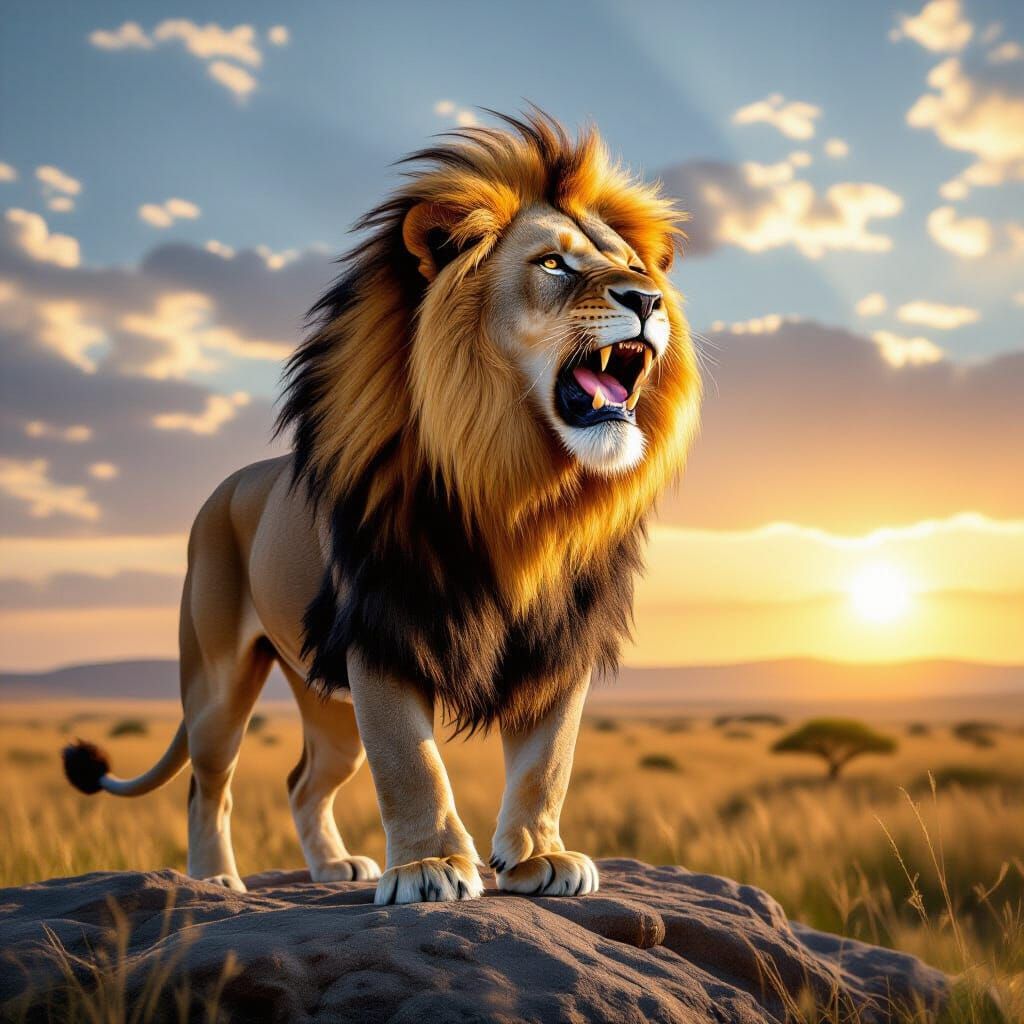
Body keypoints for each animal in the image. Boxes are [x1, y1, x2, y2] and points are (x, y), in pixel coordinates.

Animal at [63, 111, 701, 904]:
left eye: (635, 266)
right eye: (553, 264)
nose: (646, 300)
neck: (518, 489)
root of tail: (228, 486)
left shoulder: (560, 640)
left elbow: (547, 763)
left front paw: (537, 858)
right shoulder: (383, 625)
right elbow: (411, 761)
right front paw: (430, 867)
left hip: (327, 704)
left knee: (304, 780)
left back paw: (334, 865)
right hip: (216, 681)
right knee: (209, 784)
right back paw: (214, 880)